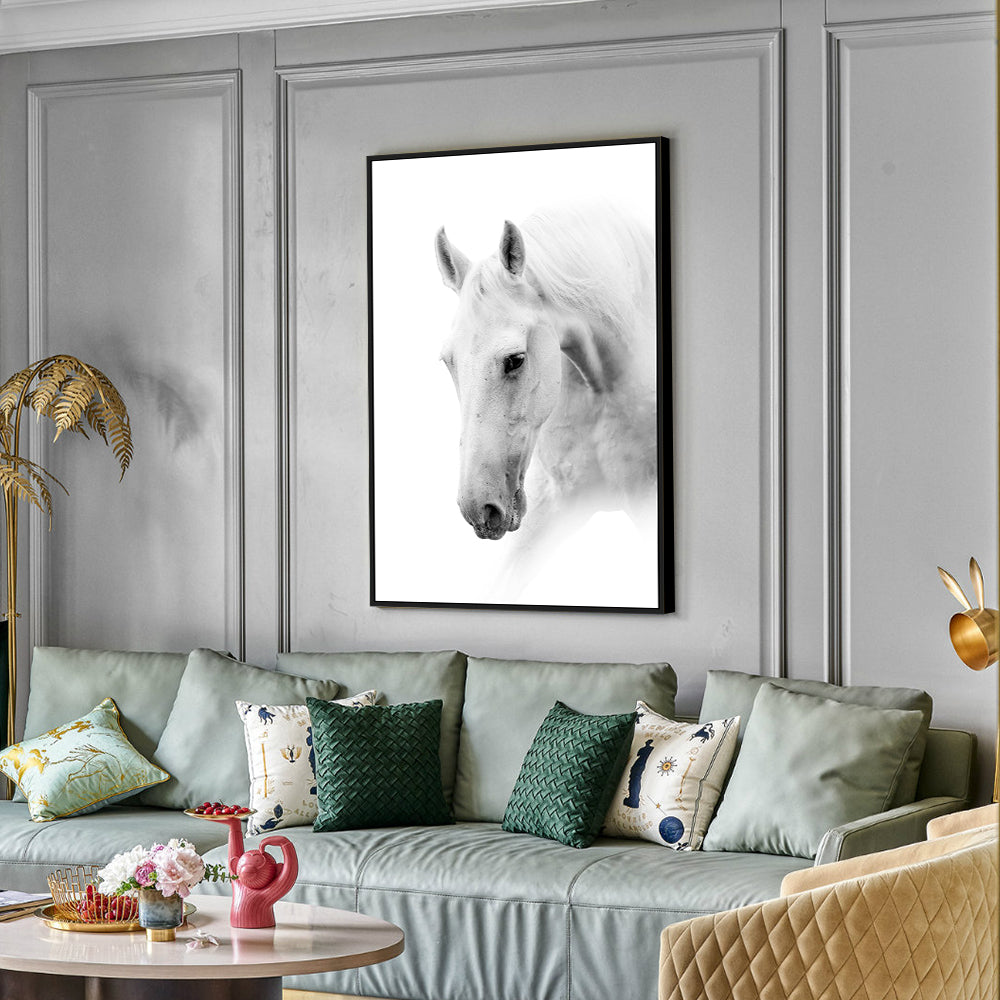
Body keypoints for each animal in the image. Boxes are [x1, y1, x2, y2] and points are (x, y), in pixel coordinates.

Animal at [434, 201, 659, 595]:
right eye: (449, 361)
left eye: (516, 359)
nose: (479, 509)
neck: (602, 387)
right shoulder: (551, 501)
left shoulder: (645, 499)